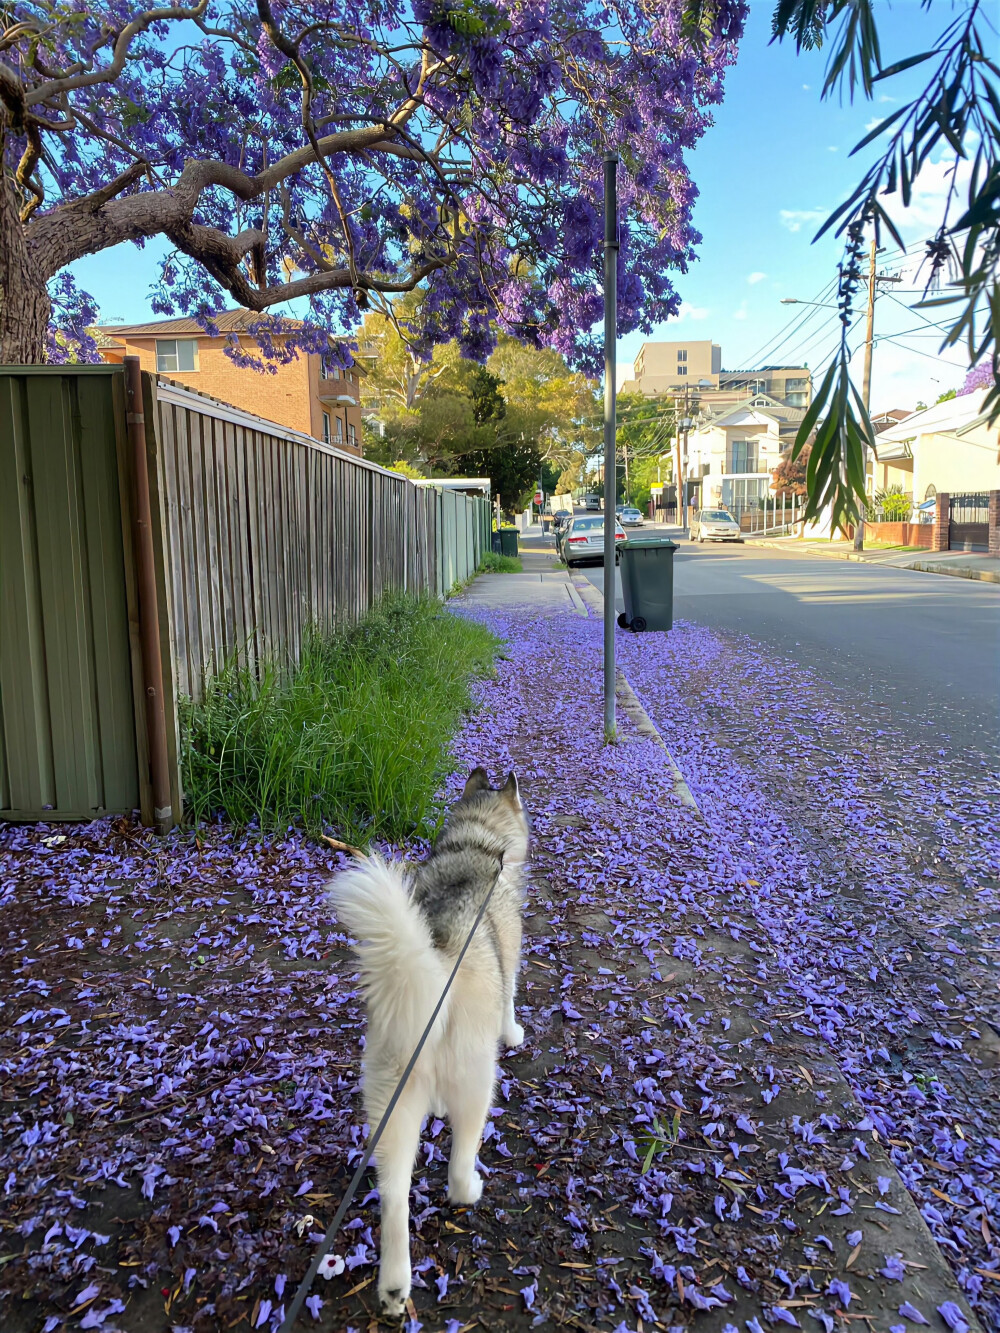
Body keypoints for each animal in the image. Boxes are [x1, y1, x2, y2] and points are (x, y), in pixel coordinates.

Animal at [330, 767, 533, 1317]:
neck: (476, 840)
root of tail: (437, 965)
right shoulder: (510, 964)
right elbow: (511, 1003)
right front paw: (515, 1033)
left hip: (391, 1109)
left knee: (393, 1196)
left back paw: (395, 1283)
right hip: (477, 1083)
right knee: (459, 1164)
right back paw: (470, 1189)